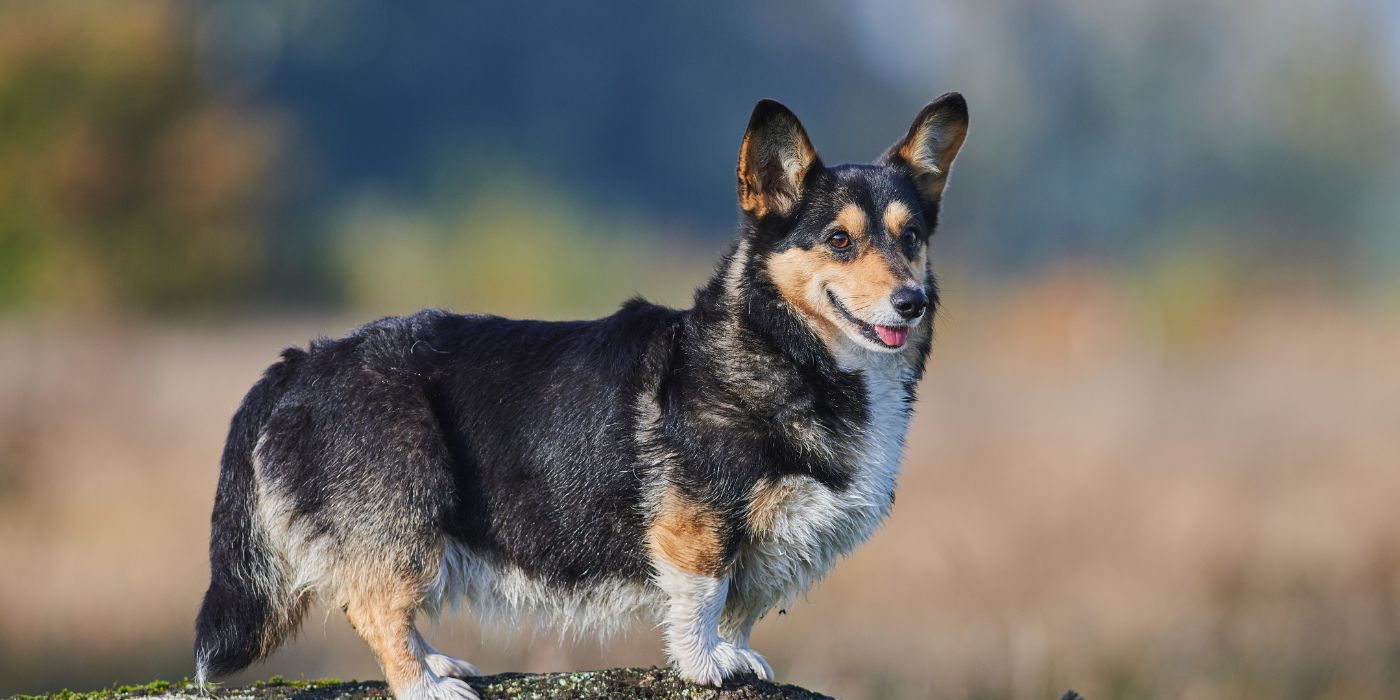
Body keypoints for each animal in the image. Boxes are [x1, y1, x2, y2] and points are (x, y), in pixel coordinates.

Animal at [194, 94, 963, 700]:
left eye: (911, 237)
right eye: (838, 239)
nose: (913, 302)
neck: (784, 349)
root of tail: (303, 359)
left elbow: (741, 608)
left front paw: (737, 655)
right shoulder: (697, 526)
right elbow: (704, 599)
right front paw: (706, 664)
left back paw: (441, 663)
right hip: (404, 510)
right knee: (376, 606)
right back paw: (426, 686)